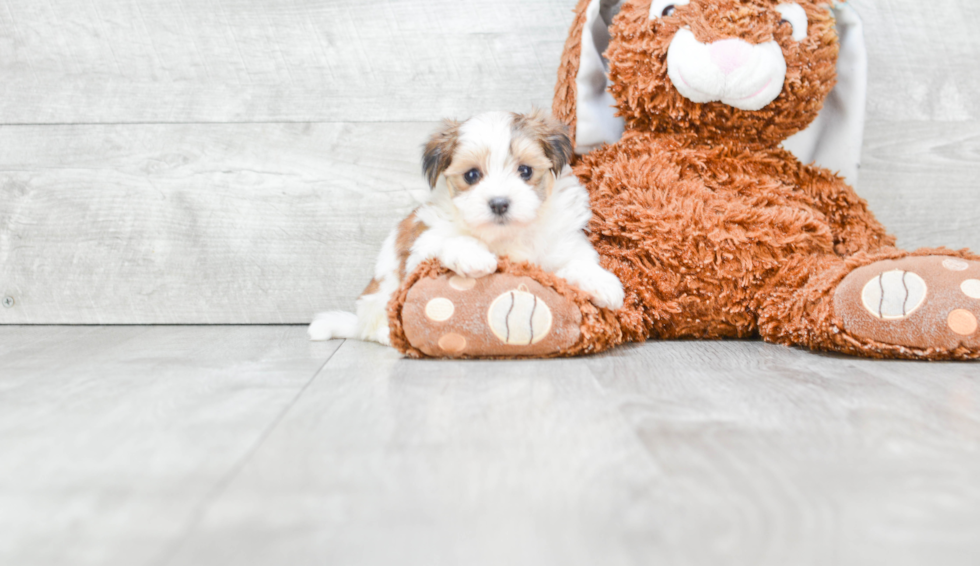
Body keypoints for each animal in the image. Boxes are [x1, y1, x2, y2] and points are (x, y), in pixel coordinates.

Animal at [310, 108, 624, 344]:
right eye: (472, 175)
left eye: (525, 171)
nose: (499, 203)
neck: (506, 235)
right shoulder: (424, 243)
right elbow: (449, 239)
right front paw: (474, 256)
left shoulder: (561, 243)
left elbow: (577, 261)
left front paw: (603, 283)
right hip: (380, 297)